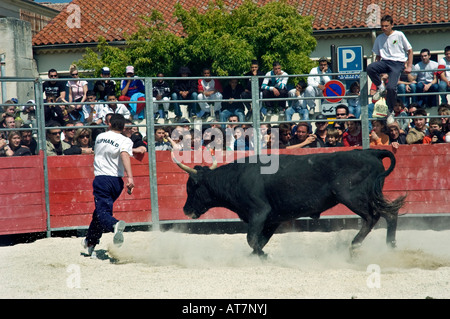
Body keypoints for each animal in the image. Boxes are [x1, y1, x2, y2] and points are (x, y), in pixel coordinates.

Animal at [174, 150, 406, 258]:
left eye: (191, 186)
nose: (185, 209)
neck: (236, 178)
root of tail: (369, 152)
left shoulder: (259, 213)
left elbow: (252, 239)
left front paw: (263, 256)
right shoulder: (272, 219)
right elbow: (259, 241)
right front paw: (256, 256)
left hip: (353, 196)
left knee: (373, 217)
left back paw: (357, 244)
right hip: (370, 196)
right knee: (389, 214)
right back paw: (390, 246)